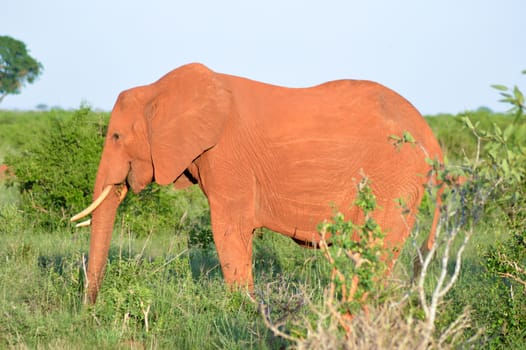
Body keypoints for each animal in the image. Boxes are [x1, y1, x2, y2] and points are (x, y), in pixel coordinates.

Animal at [71, 63, 442, 304]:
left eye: (116, 136)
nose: (88, 308)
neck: (157, 89)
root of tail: (430, 136)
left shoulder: (226, 155)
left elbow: (229, 228)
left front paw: (241, 310)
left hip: (395, 177)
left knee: (375, 247)